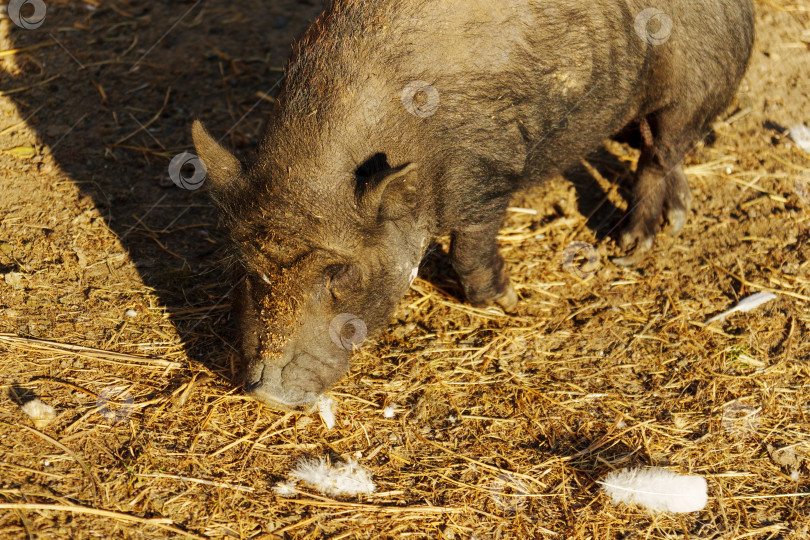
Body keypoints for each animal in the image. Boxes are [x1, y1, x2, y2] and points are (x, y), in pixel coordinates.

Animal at [192, 0, 755, 410]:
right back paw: (674, 219)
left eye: (340, 273)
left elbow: (470, 248)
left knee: (660, 153)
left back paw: (633, 244)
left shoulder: (490, 174)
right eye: (247, 267)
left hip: (695, 84)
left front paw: (507, 303)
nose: (268, 394)